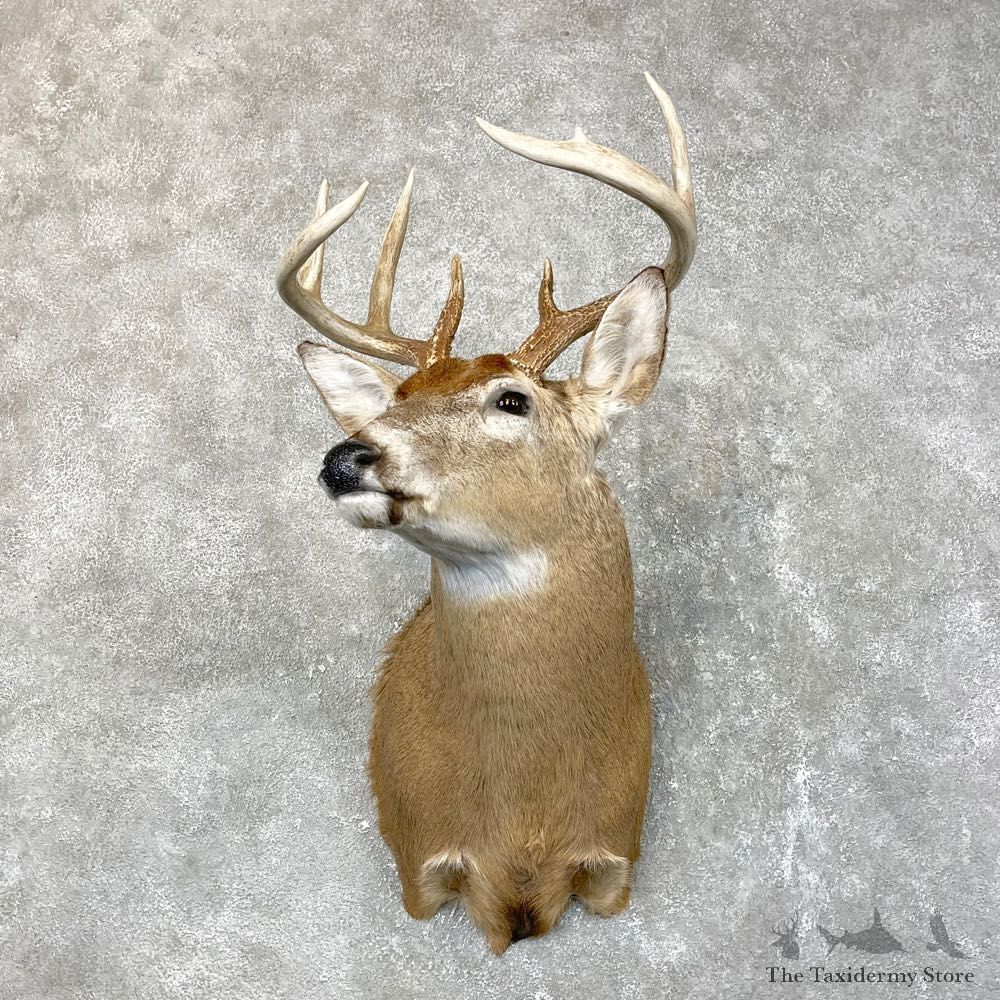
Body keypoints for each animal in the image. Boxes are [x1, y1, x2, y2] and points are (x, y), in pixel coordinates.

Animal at [276, 72, 697, 954]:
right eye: (395, 400)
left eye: (512, 399)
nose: (346, 457)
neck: (523, 819)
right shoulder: (417, 862)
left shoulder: (616, 858)